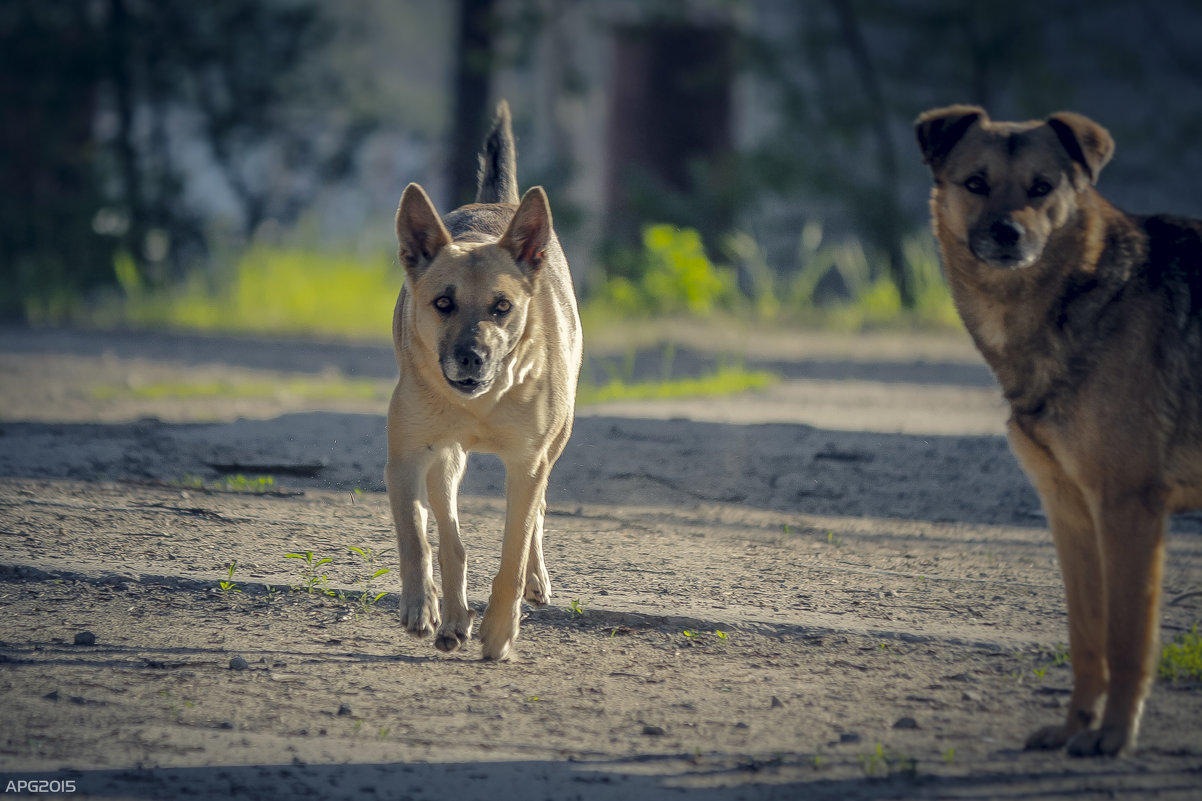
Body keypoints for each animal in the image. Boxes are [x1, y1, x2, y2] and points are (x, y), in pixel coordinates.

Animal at [387, 101, 579, 659]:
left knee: (536, 518)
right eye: (442, 303)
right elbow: (419, 537)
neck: (481, 403)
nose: (471, 358)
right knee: (449, 535)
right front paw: (423, 607)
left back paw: (532, 582)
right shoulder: (409, 456)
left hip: (555, 443)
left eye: (502, 307)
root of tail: (497, 203)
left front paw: (499, 629)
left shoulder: (526, 464)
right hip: (445, 459)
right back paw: (451, 617)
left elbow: (513, 552)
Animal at [913, 105, 1197, 755]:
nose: (1007, 234)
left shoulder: (1127, 507)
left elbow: (1125, 636)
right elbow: (1087, 636)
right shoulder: (1070, 510)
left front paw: (1113, 734)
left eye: (1042, 187)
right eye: (976, 183)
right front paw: (1076, 726)